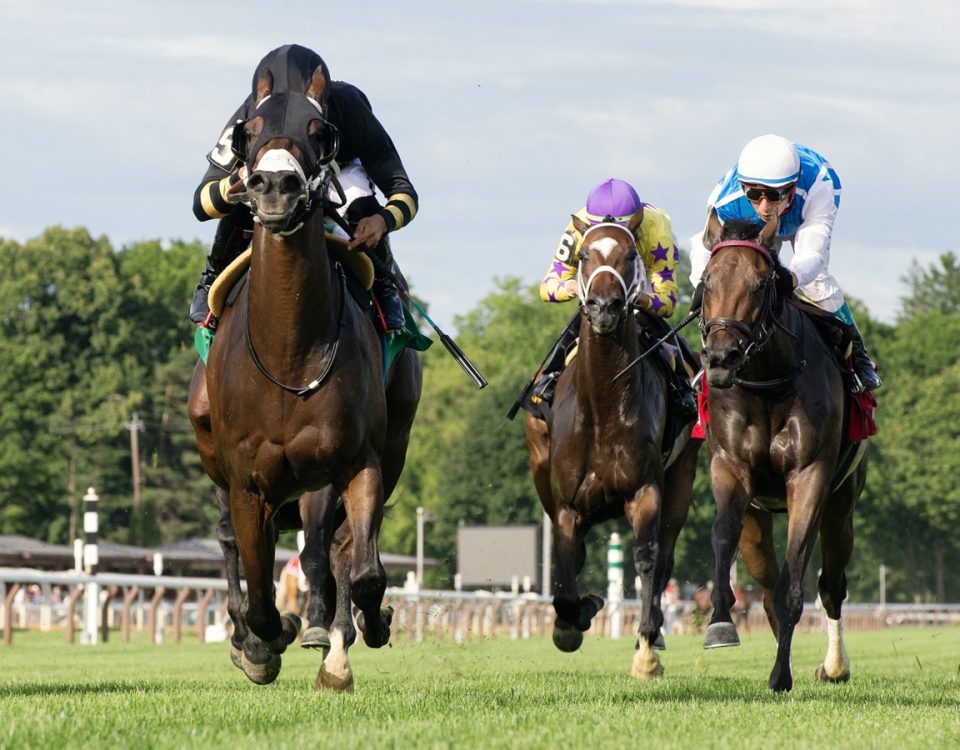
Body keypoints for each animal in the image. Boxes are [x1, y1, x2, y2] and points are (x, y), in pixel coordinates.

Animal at [524, 214, 696, 680]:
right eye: (584, 255)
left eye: (630, 254)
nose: (604, 307)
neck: (603, 403)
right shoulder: (567, 505)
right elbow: (566, 575)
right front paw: (573, 620)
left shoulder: (645, 490)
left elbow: (648, 559)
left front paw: (647, 649)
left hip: (683, 477)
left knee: (666, 555)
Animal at [692, 212, 868, 692]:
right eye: (707, 281)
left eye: (759, 284)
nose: (720, 358)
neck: (767, 386)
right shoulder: (730, 468)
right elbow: (722, 536)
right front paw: (719, 623)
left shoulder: (810, 477)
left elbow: (796, 582)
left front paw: (780, 675)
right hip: (758, 518)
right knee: (766, 583)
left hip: (842, 504)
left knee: (830, 585)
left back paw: (834, 667)